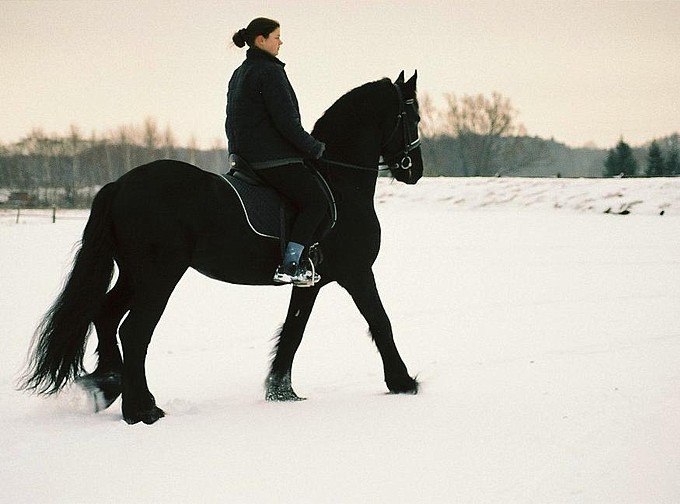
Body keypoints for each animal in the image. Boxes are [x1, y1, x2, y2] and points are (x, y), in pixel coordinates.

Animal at [21, 71, 422, 426]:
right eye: (414, 116)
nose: (414, 171)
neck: (340, 182)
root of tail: (119, 184)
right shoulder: (356, 271)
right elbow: (380, 321)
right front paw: (403, 382)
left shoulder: (311, 282)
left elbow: (294, 331)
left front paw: (281, 392)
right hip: (159, 275)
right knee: (134, 331)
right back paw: (140, 410)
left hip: (134, 274)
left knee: (105, 316)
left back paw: (107, 386)